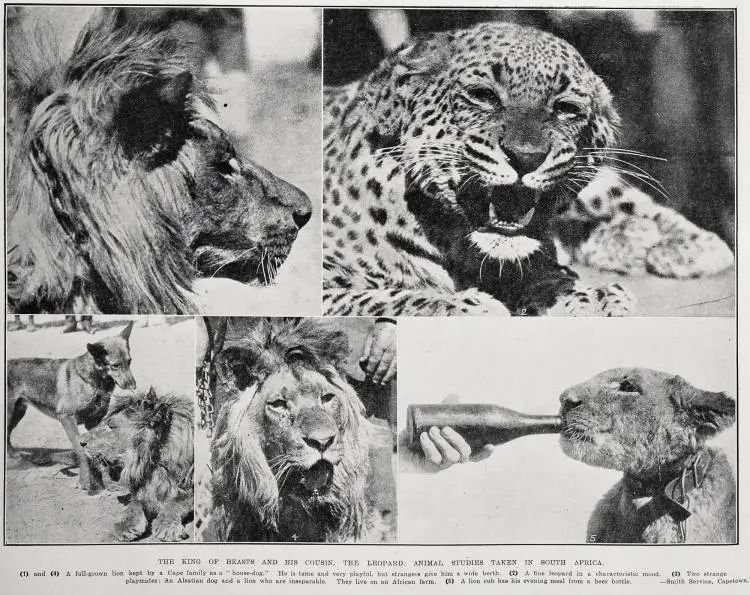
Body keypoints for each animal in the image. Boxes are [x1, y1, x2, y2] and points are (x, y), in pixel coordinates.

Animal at [322, 21, 636, 317]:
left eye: (566, 108)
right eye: (483, 95)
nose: (526, 156)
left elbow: (551, 275)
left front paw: (592, 297)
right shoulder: (327, 279)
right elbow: (377, 298)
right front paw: (464, 305)